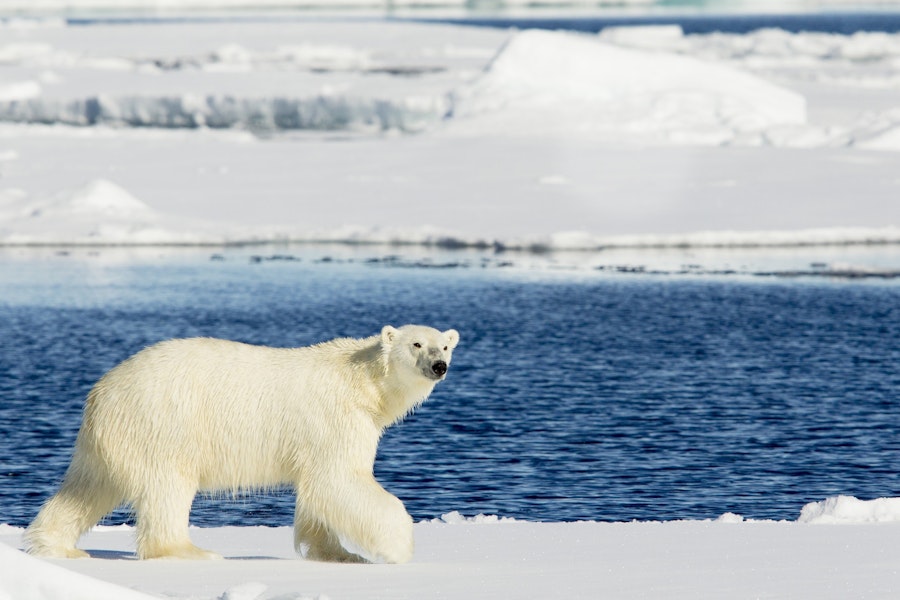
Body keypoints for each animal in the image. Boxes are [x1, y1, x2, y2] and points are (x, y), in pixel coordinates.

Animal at [24, 324, 459, 563]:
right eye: (416, 345)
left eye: (445, 345)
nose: (440, 366)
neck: (362, 382)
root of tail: (103, 390)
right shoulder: (336, 420)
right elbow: (339, 479)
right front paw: (398, 546)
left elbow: (317, 493)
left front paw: (341, 553)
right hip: (165, 424)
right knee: (168, 489)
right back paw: (190, 551)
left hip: (112, 439)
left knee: (86, 487)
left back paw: (56, 545)